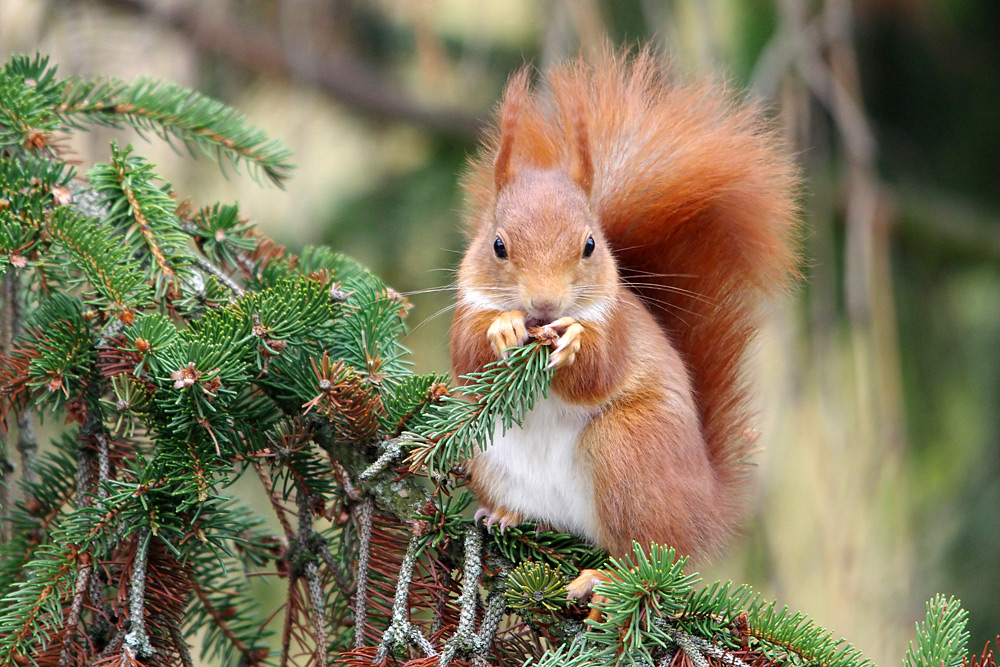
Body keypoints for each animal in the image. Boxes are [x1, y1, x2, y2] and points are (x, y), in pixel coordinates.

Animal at [450, 47, 800, 568]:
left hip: (627, 449)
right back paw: (504, 515)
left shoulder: (617, 325)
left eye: (590, 245)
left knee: (642, 552)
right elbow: (466, 356)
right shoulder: (464, 304)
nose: (544, 303)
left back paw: (601, 577)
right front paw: (502, 330)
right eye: (497, 245)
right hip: (486, 448)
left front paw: (574, 343)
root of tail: (705, 510)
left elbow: (602, 369)